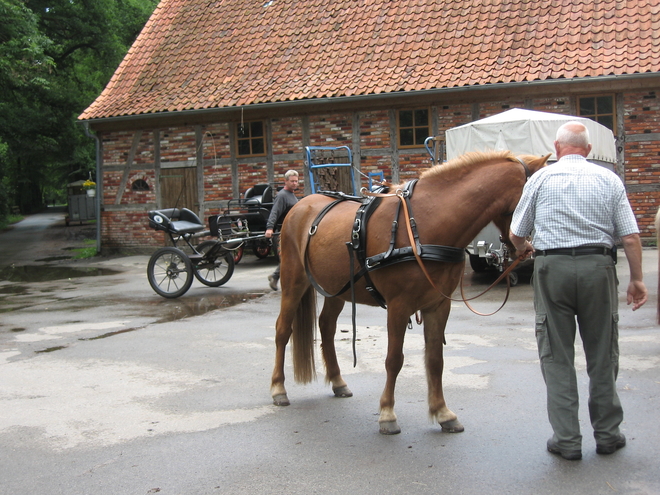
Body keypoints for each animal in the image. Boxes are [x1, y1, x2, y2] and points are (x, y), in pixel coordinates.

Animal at [270, 150, 548, 434]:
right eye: (536, 194)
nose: (528, 250)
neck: (423, 225)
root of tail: (299, 207)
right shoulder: (398, 306)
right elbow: (394, 359)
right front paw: (387, 414)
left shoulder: (438, 305)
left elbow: (435, 360)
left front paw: (442, 413)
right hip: (294, 282)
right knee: (283, 330)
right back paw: (278, 388)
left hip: (335, 289)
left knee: (326, 326)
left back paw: (338, 381)